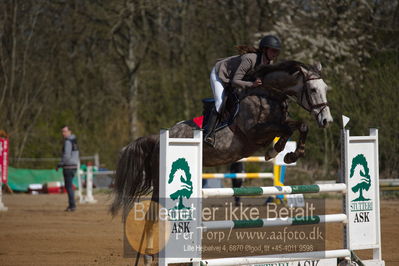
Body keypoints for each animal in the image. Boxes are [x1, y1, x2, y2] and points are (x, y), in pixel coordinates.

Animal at [110, 59, 334, 216]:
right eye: (313, 89)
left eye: (325, 89)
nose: (326, 120)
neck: (267, 93)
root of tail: (157, 139)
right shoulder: (255, 132)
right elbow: (291, 127)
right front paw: (280, 152)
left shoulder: (274, 126)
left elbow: (297, 126)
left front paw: (286, 153)